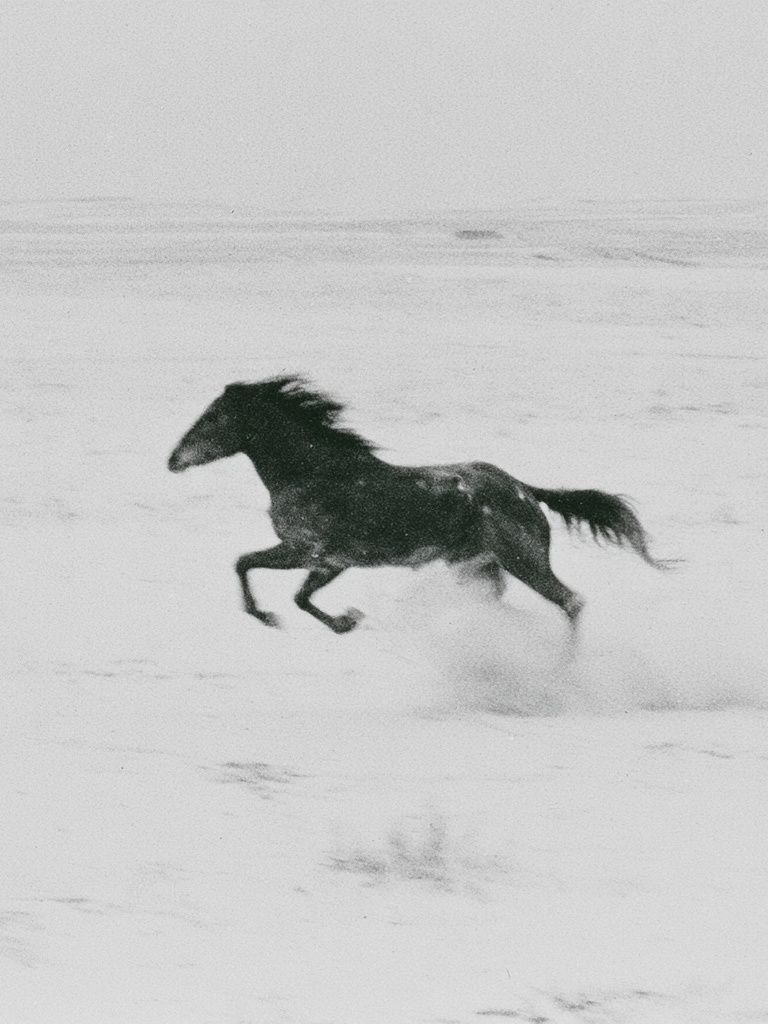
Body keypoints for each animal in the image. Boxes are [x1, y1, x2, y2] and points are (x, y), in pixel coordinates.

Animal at [168, 375, 670, 636]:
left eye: (214, 417)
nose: (172, 460)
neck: (316, 475)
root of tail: (523, 490)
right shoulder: (321, 558)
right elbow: (274, 582)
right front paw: (329, 619)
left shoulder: (316, 553)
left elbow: (268, 579)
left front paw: (299, 617)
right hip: (478, 566)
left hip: (523, 560)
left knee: (571, 602)